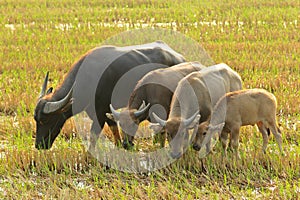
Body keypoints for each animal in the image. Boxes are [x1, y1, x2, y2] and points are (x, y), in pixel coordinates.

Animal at [33, 41, 185, 150]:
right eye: (36, 119)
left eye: (45, 120)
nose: (39, 145)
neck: (87, 79)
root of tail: (179, 58)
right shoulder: (105, 110)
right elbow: (114, 128)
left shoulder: (99, 112)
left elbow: (93, 135)